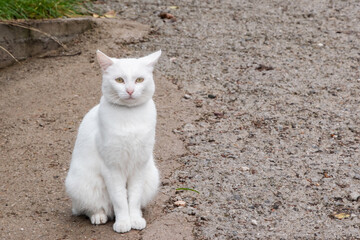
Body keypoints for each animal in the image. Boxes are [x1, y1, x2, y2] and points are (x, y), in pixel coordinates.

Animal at [64, 50, 161, 232]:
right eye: (119, 80)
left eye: (139, 80)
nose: (130, 90)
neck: (130, 117)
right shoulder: (112, 167)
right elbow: (120, 199)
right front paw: (123, 223)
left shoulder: (139, 165)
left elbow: (134, 198)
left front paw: (135, 219)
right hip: (81, 184)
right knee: (90, 208)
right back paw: (99, 216)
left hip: (151, 177)